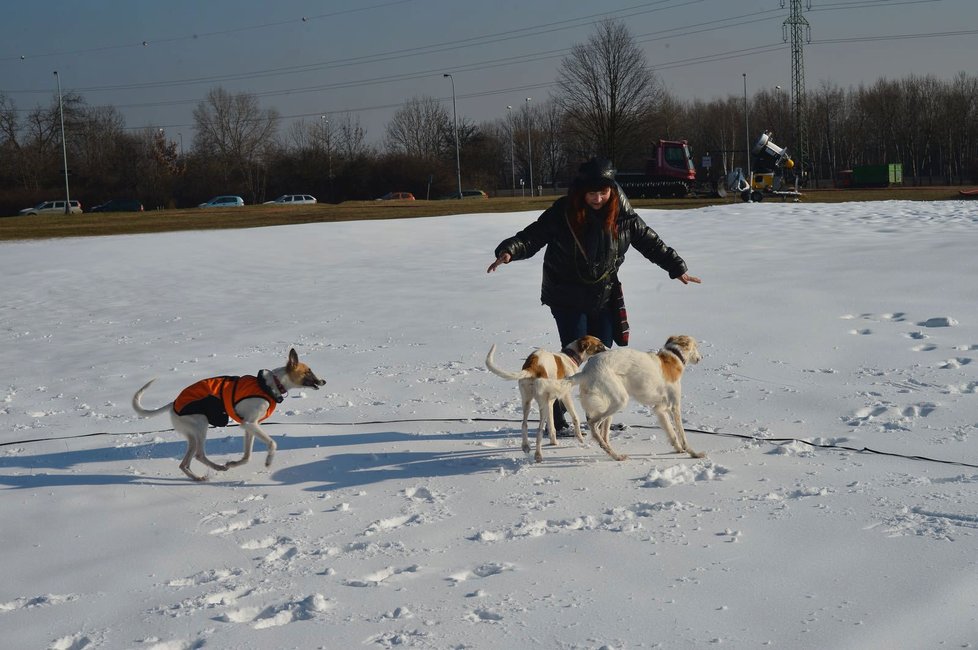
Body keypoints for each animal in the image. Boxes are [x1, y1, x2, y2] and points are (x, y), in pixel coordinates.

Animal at [130, 346, 326, 478]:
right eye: (308, 371)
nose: (323, 381)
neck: (271, 385)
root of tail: (173, 404)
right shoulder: (250, 423)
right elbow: (272, 443)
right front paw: (268, 461)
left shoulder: (249, 427)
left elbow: (247, 456)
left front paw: (233, 463)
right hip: (201, 426)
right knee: (199, 455)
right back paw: (215, 469)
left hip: (192, 435)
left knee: (184, 464)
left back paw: (200, 477)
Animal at [568, 334, 704, 460]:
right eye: (696, 346)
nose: (701, 358)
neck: (674, 356)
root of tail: (585, 372)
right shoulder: (674, 407)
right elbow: (682, 434)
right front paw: (693, 453)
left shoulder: (660, 409)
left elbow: (672, 433)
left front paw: (678, 449)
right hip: (620, 401)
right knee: (593, 424)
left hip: (610, 407)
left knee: (604, 434)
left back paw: (615, 455)